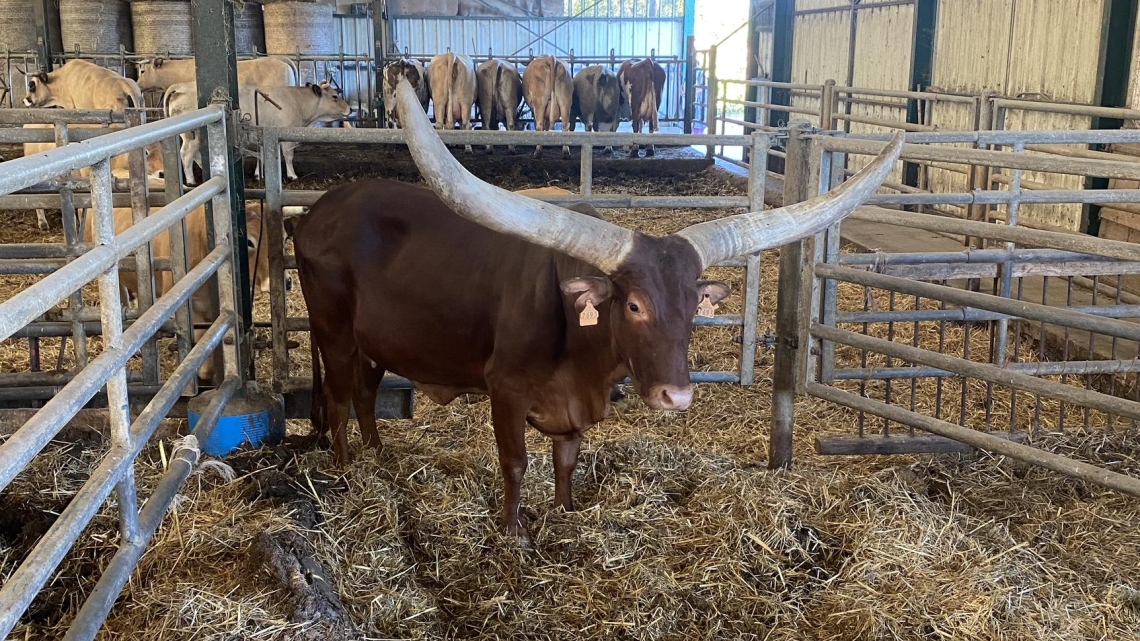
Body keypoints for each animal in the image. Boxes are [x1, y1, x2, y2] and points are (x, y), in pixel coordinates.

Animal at [296, 77, 907, 540]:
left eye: (694, 306)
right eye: (633, 304)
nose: (677, 396)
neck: (577, 345)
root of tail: (319, 210)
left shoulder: (572, 406)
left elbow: (566, 459)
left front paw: (566, 512)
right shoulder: (505, 387)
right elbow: (515, 460)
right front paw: (514, 532)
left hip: (376, 341)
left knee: (366, 394)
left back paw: (379, 458)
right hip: (332, 332)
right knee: (338, 397)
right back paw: (347, 472)